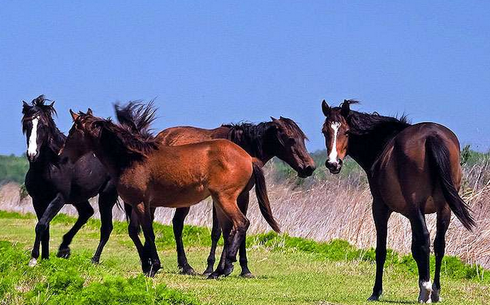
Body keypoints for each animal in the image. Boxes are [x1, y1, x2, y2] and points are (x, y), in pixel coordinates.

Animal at [20, 95, 118, 266]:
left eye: (44, 126)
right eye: (27, 124)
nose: (32, 154)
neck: (51, 165)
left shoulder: (59, 198)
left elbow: (41, 225)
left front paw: (34, 259)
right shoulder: (37, 199)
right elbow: (45, 228)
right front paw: (45, 258)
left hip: (107, 196)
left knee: (106, 227)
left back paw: (94, 260)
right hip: (79, 197)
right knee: (87, 213)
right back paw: (64, 249)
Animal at [63, 104, 282, 278]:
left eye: (72, 132)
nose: (62, 155)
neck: (132, 158)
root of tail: (248, 158)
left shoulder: (141, 203)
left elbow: (148, 233)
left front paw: (153, 266)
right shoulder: (139, 204)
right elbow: (136, 232)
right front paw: (147, 264)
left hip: (225, 198)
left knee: (241, 224)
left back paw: (225, 265)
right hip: (221, 201)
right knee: (230, 230)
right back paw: (218, 271)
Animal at [115, 101, 316, 276]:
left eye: (303, 138)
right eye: (290, 139)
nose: (309, 167)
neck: (242, 146)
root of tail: (156, 138)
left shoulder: (242, 196)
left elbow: (237, 230)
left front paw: (243, 268)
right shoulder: (218, 197)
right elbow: (218, 231)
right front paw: (214, 267)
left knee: (174, 225)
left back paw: (181, 265)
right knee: (157, 225)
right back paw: (171, 263)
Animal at [322, 100, 474, 302]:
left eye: (346, 132)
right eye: (325, 131)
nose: (333, 164)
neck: (383, 144)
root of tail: (432, 136)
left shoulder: (380, 207)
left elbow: (382, 250)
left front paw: (376, 291)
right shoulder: (412, 214)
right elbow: (415, 249)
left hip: (415, 205)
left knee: (426, 239)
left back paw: (425, 290)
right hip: (444, 208)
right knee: (439, 244)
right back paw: (435, 291)